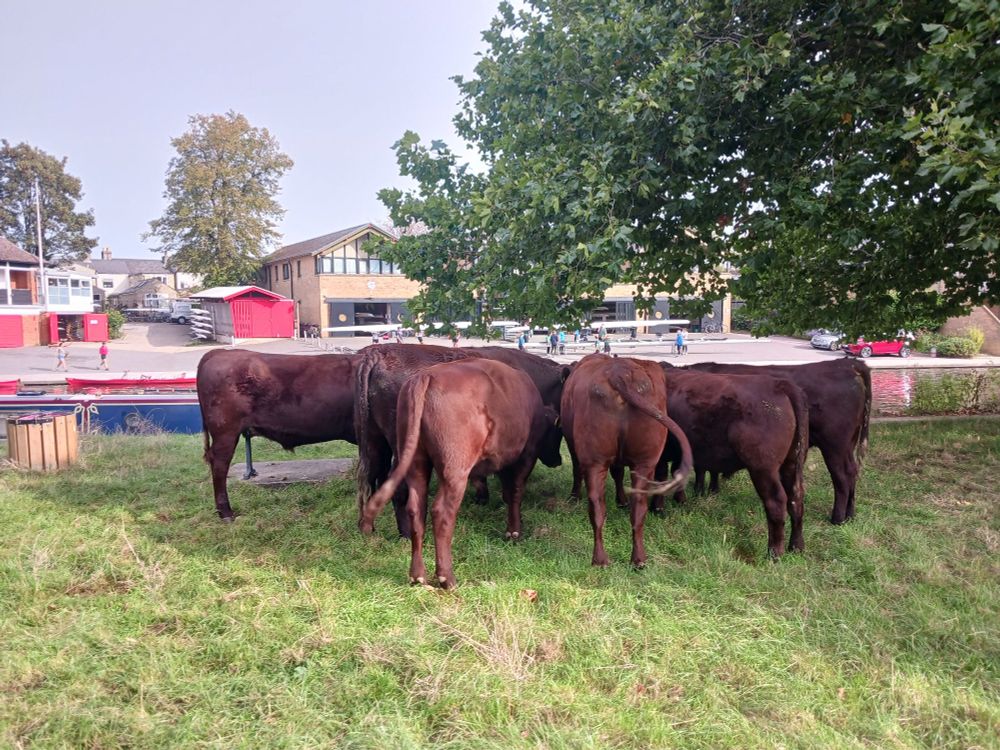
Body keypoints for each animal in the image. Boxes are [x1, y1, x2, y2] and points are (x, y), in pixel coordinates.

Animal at [357, 358, 563, 589]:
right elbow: (515, 492)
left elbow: (508, 493)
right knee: (442, 513)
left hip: (416, 464)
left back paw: (417, 575)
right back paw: (447, 578)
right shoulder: (526, 456)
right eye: (558, 432)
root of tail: (425, 377)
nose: (558, 460)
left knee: (416, 509)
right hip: (455, 470)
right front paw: (514, 532)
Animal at [560, 354, 693, 568]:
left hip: (598, 460)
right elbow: (618, 473)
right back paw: (633, 559)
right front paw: (621, 500)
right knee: (633, 506)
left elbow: (585, 471)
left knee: (599, 504)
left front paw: (575, 496)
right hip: (643, 461)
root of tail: (619, 372)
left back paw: (605, 559)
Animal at [652, 365, 810, 558]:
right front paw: (679, 500)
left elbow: (660, 477)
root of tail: (779, 384)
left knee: (776, 501)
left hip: (763, 468)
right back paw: (796, 546)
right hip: (791, 462)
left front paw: (657, 510)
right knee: (796, 498)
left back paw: (774, 553)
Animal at [687, 359, 871, 524]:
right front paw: (711, 491)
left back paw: (837, 518)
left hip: (834, 445)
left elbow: (701, 468)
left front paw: (699, 492)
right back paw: (850, 515)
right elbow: (710, 469)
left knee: (841, 477)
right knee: (852, 471)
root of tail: (848, 363)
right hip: (848, 444)